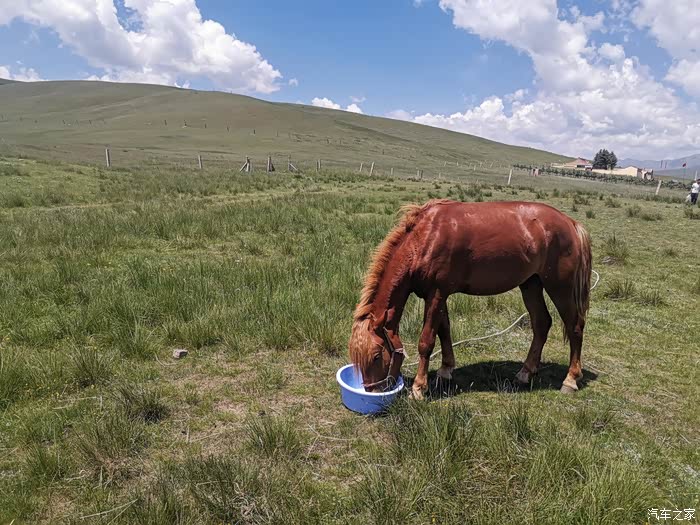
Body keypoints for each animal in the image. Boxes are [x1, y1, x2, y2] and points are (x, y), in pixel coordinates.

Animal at [348, 199, 592, 400]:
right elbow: (444, 330)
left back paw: (570, 379)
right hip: (531, 284)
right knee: (541, 323)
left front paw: (418, 388)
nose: (372, 392)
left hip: (560, 287)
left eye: (377, 356)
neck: (426, 238)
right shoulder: (439, 295)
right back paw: (525, 373)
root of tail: (571, 223)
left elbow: (426, 341)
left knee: (575, 327)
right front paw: (446, 370)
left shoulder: (436, 294)